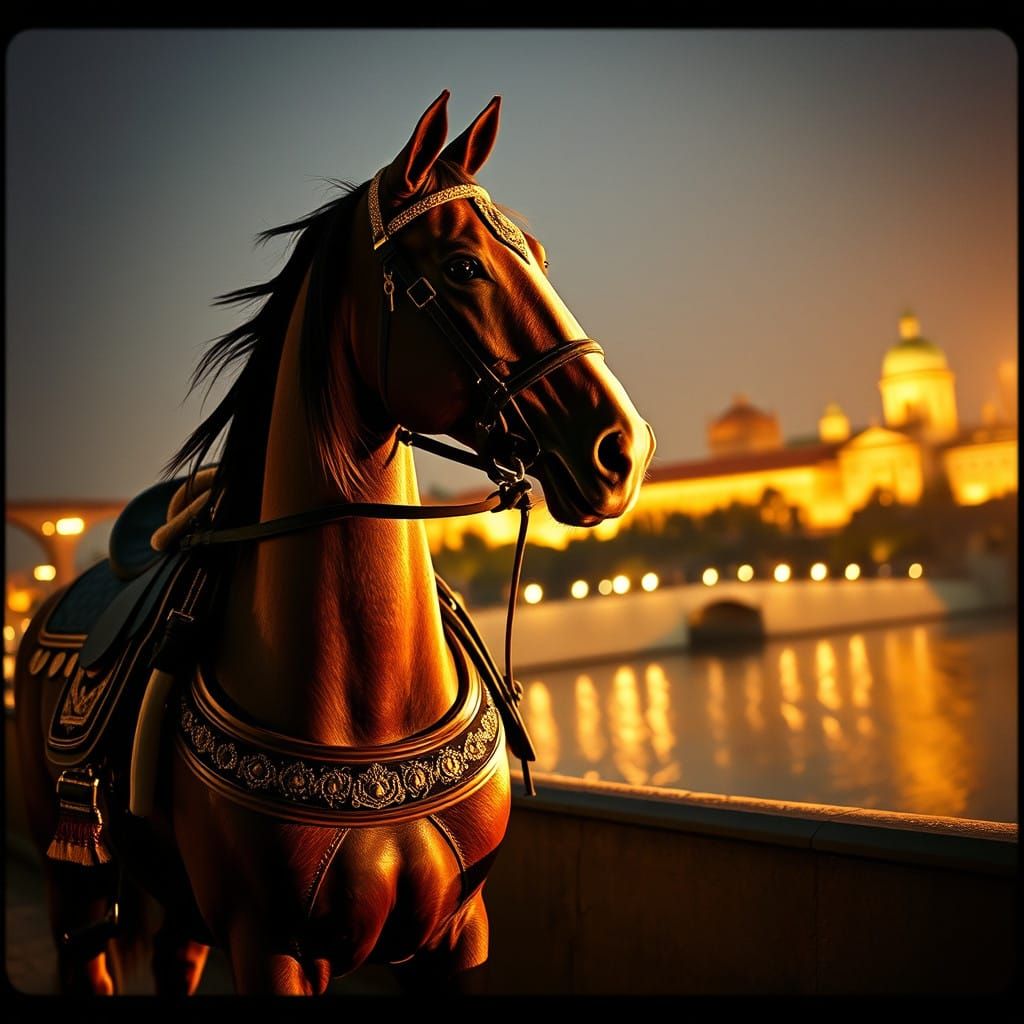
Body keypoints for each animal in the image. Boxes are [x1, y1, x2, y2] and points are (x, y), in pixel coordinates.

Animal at [14, 91, 655, 995]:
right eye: (463, 266)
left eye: (538, 254)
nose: (623, 447)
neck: (368, 713)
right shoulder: (270, 949)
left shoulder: (459, 936)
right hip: (73, 879)